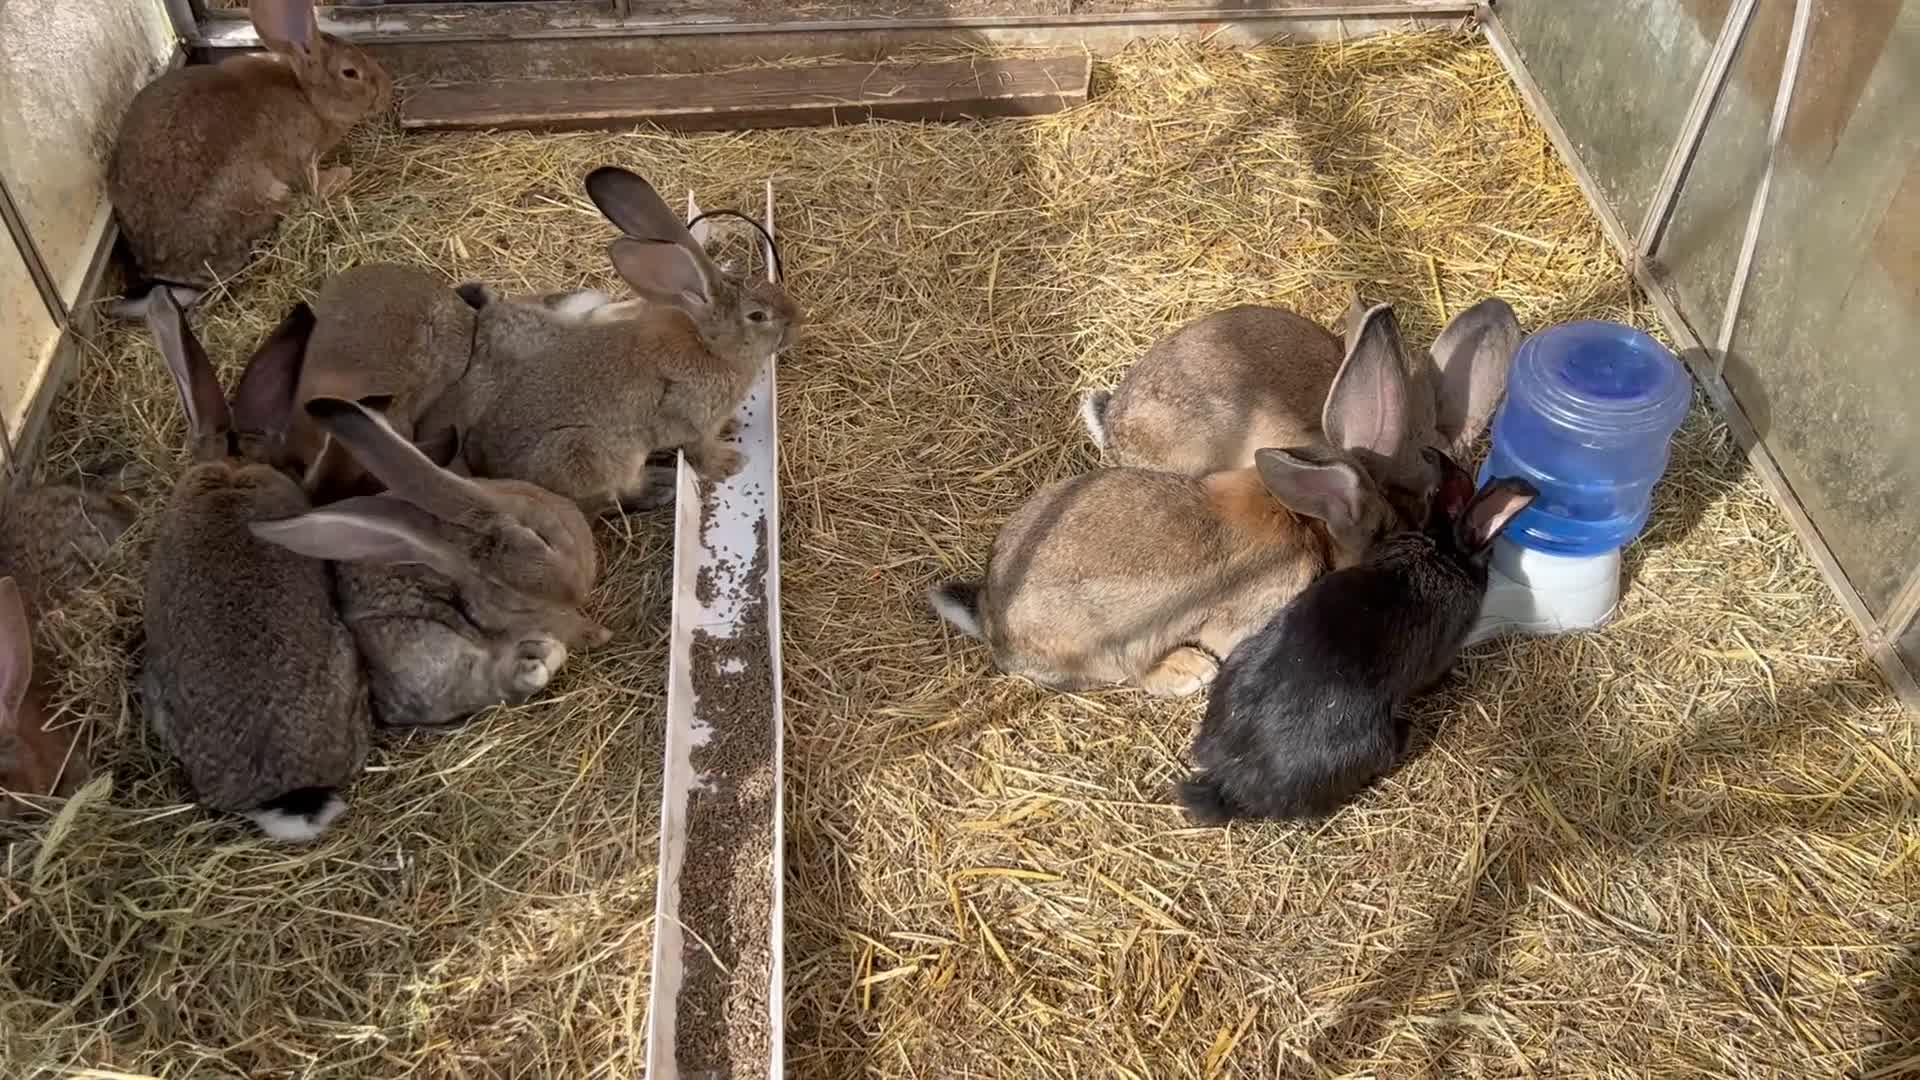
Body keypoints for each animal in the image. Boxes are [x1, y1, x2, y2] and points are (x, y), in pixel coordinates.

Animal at [106, 0, 392, 318]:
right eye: (350, 72)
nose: (387, 92)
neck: (306, 95)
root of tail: (166, 269)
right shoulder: (301, 157)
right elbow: (313, 184)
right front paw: (341, 176)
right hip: (263, 192)